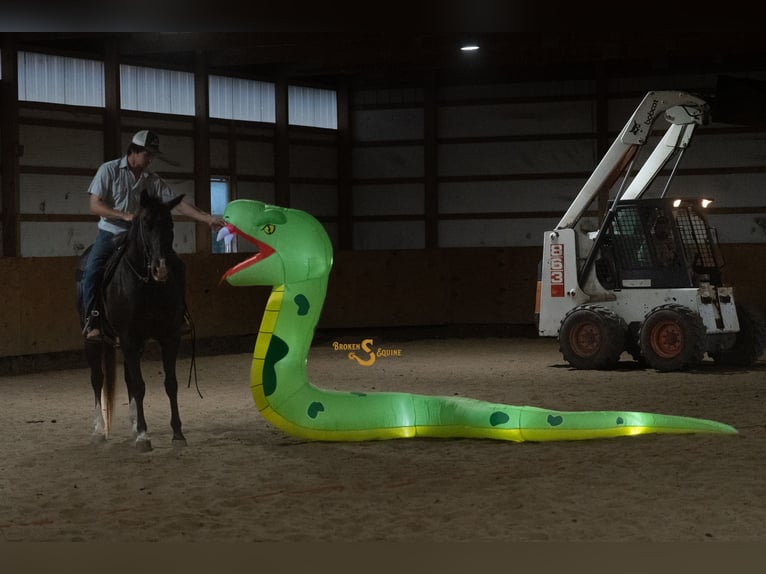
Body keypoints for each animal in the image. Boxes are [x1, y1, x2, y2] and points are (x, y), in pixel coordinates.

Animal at [76, 189, 188, 452]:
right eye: (145, 223)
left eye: (170, 224)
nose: (161, 269)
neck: (147, 285)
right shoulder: (128, 338)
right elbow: (139, 385)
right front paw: (144, 437)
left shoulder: (170, 337)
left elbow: (170, 383)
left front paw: (177, 433)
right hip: (93, 340)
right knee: (97, 380)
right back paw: (99, 430)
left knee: (127, 380)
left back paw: (134, 424)